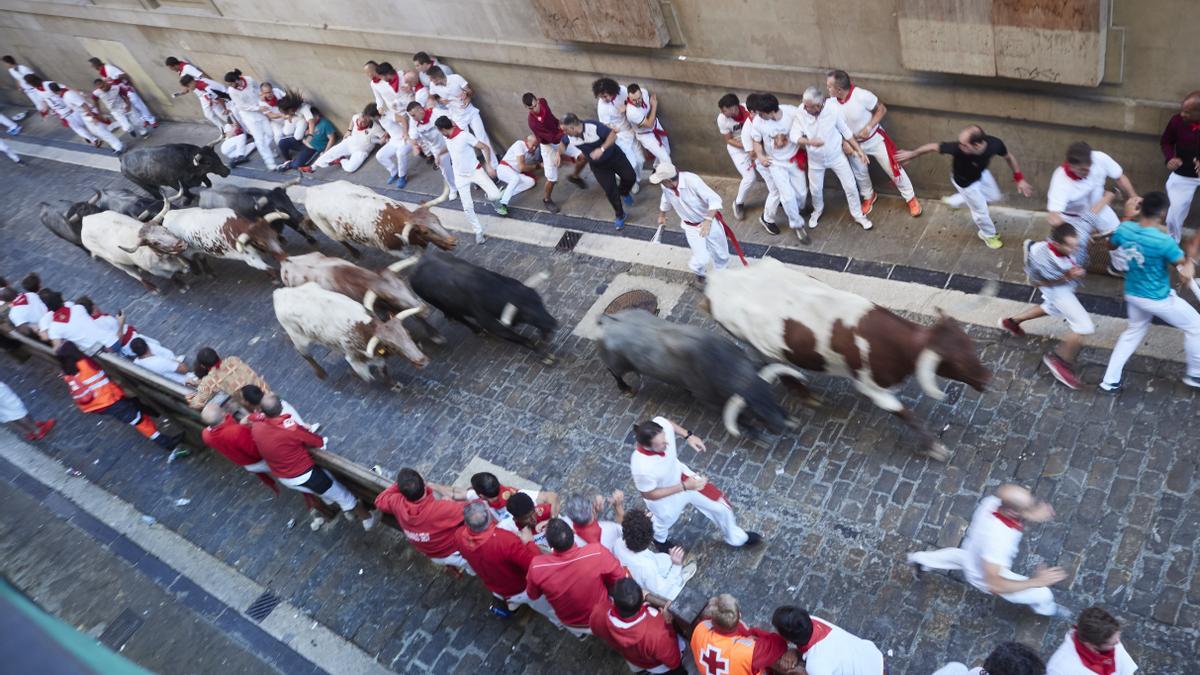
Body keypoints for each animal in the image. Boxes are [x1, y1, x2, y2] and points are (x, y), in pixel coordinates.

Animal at [274, 281, 434, 381]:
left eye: (407, 334)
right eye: (390, 345)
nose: (422, 361)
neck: (365, 327)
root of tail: (280, 293)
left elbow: (384, 369)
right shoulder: (356, 359)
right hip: (298, 338)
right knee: (304, 354)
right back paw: (321, 373)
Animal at [278, 252, 448, 345]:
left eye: (403, 283)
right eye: (390, 296)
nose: (425, 308)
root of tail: (286, 260)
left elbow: (415, 315)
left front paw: (435, 335)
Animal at [292, 180, 456, 255]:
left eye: (437, 220)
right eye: (425, 231)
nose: (453, 241)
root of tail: (312, 190)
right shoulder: (393, 250)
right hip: (329, 231)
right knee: (342, 241)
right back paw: (355, 253)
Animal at [597, 309, 806, 437]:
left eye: (772, 397)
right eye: (757, 412)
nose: (782, 425)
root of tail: (608, 320)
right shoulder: (708, 399)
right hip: (617, 365)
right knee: (613, 371)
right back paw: (625, 388)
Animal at [700, 255, 993, 456]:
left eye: (970, 345)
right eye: (956, 363)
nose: (987, 379)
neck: (885, 341)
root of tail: (717, 283)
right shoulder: (872, 387)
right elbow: (906, 413)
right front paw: (934, 447)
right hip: (756, 345)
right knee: (776, 368)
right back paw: (806, 395)